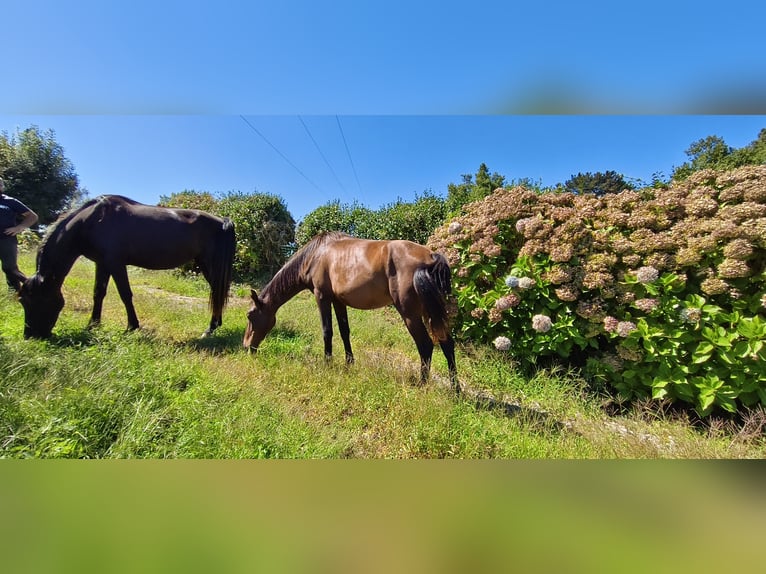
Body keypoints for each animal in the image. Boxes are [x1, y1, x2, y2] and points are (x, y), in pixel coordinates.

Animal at [17, 195, 235, 340]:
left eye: (34, 300)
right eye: (22, 301)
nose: (30, 336)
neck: (93, 221)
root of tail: (222, 221)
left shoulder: (116, 263)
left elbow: (125, 294)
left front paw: (132, 327)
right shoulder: (102, 263)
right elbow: (98, 293)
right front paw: (93, 325)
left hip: (210, 264)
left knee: (217, 292)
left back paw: (210, 329)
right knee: (217, 292)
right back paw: (214, 326)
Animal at [243, 231, 459, 392]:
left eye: (250, 315)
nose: (246, 347)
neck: (316, 255)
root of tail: (431, 257)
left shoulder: (322, 297)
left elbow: (327, 331)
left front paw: (328, 363)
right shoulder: (339, 302)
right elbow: (344, 332)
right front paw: (349, 363)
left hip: (410, 314)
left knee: (426, 345)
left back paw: (421, 385)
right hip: (430, 312)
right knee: (447, 344)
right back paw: (455, 391)